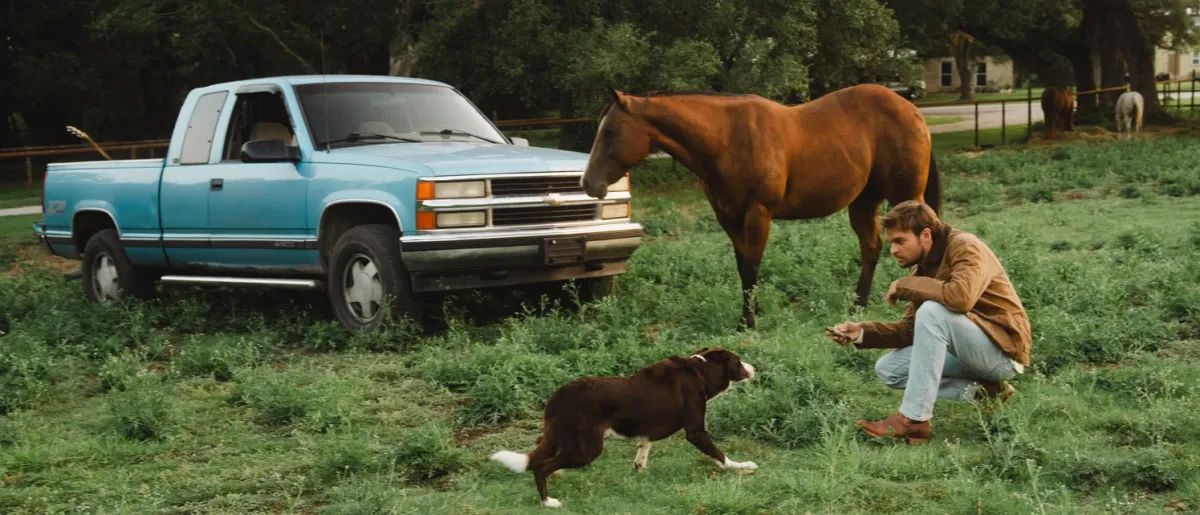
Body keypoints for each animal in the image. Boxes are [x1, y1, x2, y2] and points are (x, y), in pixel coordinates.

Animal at [489, 345, 753, 506]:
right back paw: (548, 502)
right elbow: (720, 455)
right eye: (739, 361)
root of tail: (559, 396)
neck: (699, 370)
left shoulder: (647, 434)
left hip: (558, 438)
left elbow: (643, 450)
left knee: (540, 457)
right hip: (587, 449)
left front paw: (641, 470)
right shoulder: (696, 432)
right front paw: (742, 466)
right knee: (541, 467)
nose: (754, 367)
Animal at [580, 82, 936, 326]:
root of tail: (911, 109)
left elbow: (752, 265)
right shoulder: (728, 217)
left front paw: (747, 321)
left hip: (905, 198)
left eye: (610, 132)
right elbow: (742, 267)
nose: (588, 184)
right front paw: (751, 311)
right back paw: (857, 304)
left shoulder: (757, 214)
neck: (727, 138)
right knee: (870, 249)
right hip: (862, 202)